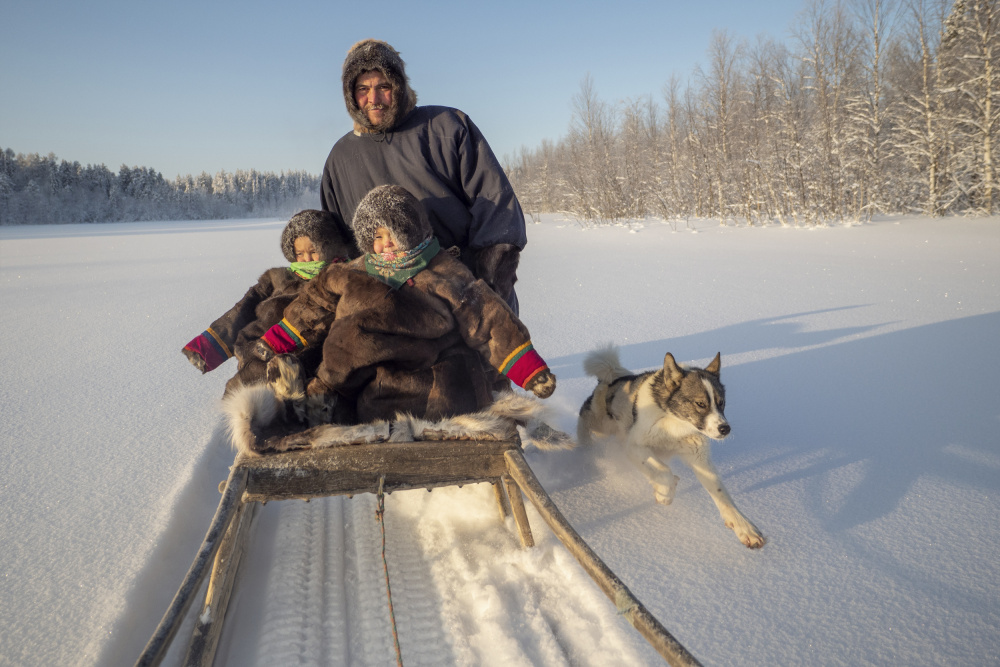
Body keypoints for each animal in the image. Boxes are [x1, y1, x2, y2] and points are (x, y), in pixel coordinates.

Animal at [576, 348, 760, 552]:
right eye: (701, 404)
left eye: (721, 403)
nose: (725, 429)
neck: (675, 423)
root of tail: (614, 376)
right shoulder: (634, 446)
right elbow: (663, 470)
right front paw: (664, 493)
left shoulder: (699, 458)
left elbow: (722, 494)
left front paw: (745, 528)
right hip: (601, 425)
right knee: (584, 420)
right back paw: (583, 448)